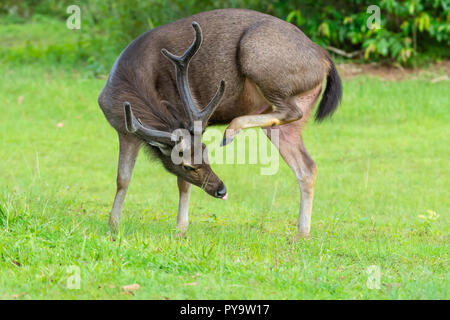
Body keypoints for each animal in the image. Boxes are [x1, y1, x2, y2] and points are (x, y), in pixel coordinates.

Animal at [98, 7, 342, 239]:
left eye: (206, 152)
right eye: (188, 165)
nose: (221, 190)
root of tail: (325, 58)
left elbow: (181, 184)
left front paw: (181, 229)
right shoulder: (124, 130)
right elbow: (123, 179)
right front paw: (113, 226)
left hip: (258, 57)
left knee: (292, 113)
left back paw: (231, 130)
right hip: (290, 117)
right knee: (307, 166)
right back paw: (301, 233)